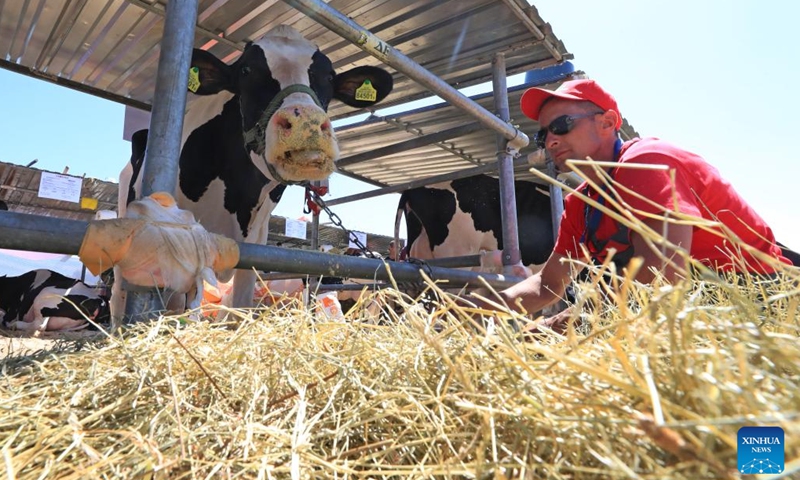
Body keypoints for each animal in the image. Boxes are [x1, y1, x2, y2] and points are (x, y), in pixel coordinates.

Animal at [116, 26, 394, 318]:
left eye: (329, 75)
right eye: (246, 70)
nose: (305, 123)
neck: (235, 198)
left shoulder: (255, 243)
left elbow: (239, 304)